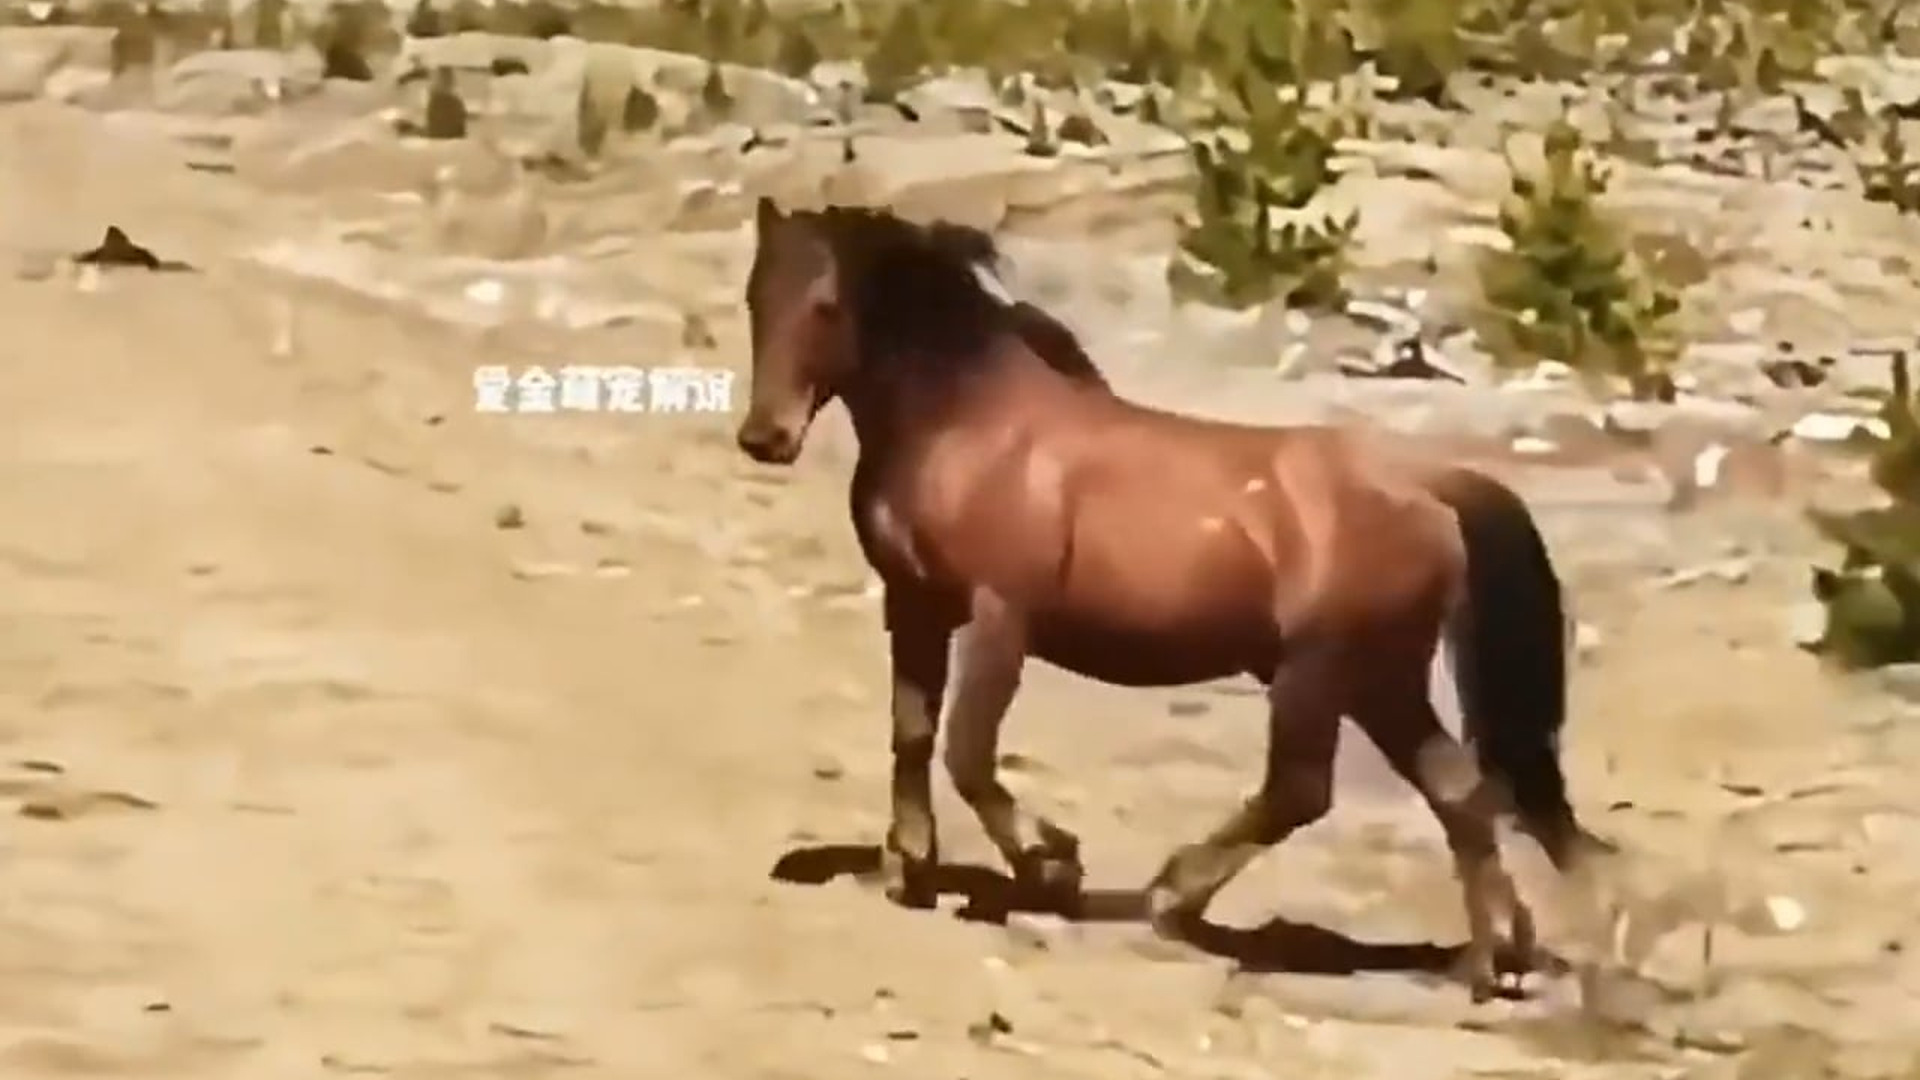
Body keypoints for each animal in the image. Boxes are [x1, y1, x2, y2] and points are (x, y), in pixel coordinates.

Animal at [733, 197, 1611, 1002]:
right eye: (755, 298)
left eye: (826, 303)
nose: (764, 437)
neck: (970, 429)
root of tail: (1427, 484)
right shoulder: (913, 603)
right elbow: (912, 735)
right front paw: (909, 869)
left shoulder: (999, 616)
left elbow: (968, 751)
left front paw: (1050, 863)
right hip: (1377, 679)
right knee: (1455, 790)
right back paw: (1492, 960)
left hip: (1318, 671)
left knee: (1303, 791)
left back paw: (1169, 898)